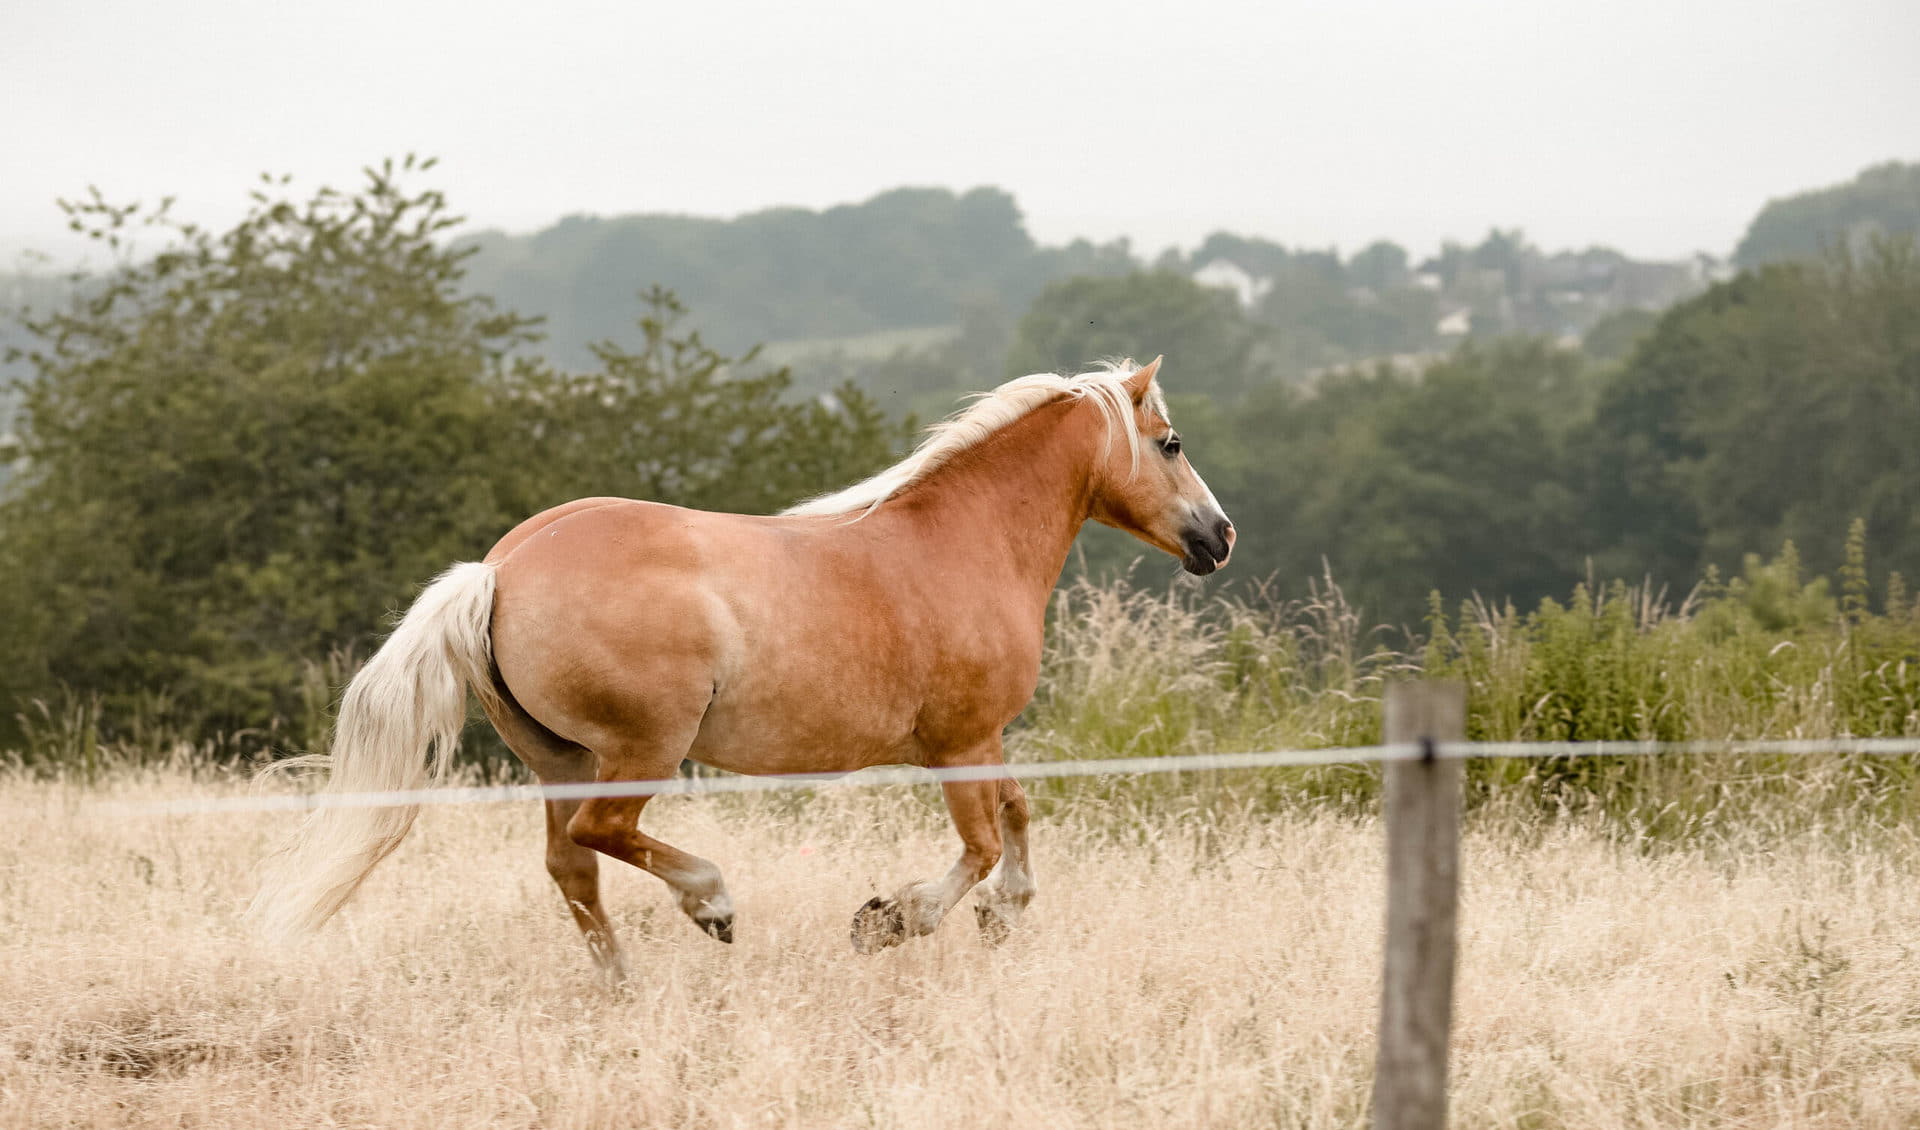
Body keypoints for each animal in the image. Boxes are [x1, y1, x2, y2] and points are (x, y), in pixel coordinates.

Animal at [251, 356, 1228, 974]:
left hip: (559, 757)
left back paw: (623, 989)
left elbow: (1019, 817)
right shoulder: (960, 742)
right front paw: (889, 922)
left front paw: (1003, 914)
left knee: (571, 867)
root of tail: (499, 569)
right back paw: (712, 905)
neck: (961, 541)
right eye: (1173, 443)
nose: (1218, 538)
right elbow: (983, 843)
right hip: (642, 747)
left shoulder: (978, 739)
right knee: (604, 834)